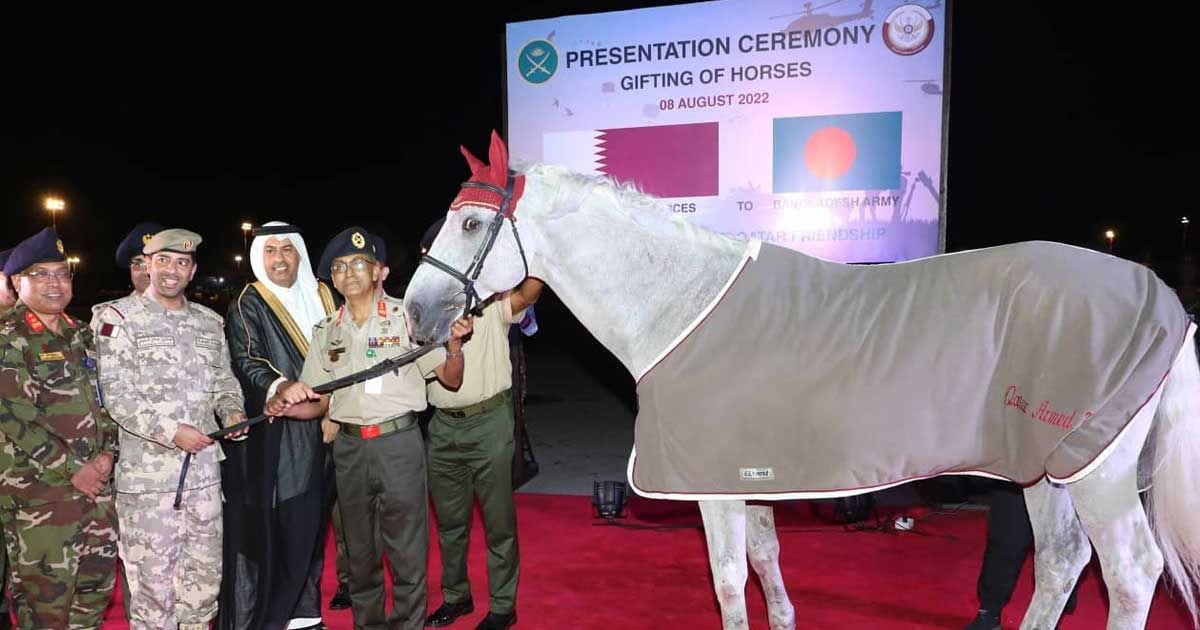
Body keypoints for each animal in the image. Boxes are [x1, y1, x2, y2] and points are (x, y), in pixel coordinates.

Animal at [405, 131, 1200, 624]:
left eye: (470, 226)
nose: (414, 315)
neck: (679, 304)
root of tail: (1161, 296)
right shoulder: (751, 476)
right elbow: (767, 564)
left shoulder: (713, 487)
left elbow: (730, 583)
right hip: (1045, 469)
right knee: (1062, 564)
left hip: (1096, 471)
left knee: (1130, 575)